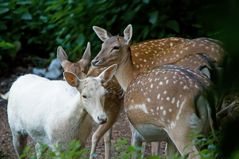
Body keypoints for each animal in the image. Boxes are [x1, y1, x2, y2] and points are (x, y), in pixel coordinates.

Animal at [91, 24, 218, 158]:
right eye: (102, 45)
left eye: (116, 47)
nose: (95, 61)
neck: (130, 79)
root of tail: (203, 91)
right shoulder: (167, 138)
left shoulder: (136, 131)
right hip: (206, 130)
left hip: (181, 129)